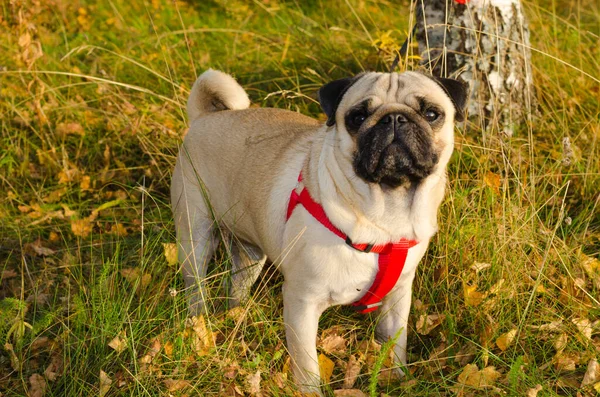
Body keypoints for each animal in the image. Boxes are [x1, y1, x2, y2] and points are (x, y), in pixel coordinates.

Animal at [171, 69, 466, 392]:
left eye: (431, 114)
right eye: (358, 117)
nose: (394, 119)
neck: (386, 213)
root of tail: (204, 117)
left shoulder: (398, 296)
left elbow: (394, 345)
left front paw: (397, 380)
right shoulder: (302, 302)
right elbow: (307, 367)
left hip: (248, 253)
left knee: (237, 285)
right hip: (196, 234)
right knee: (195, 285)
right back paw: (200, 325)